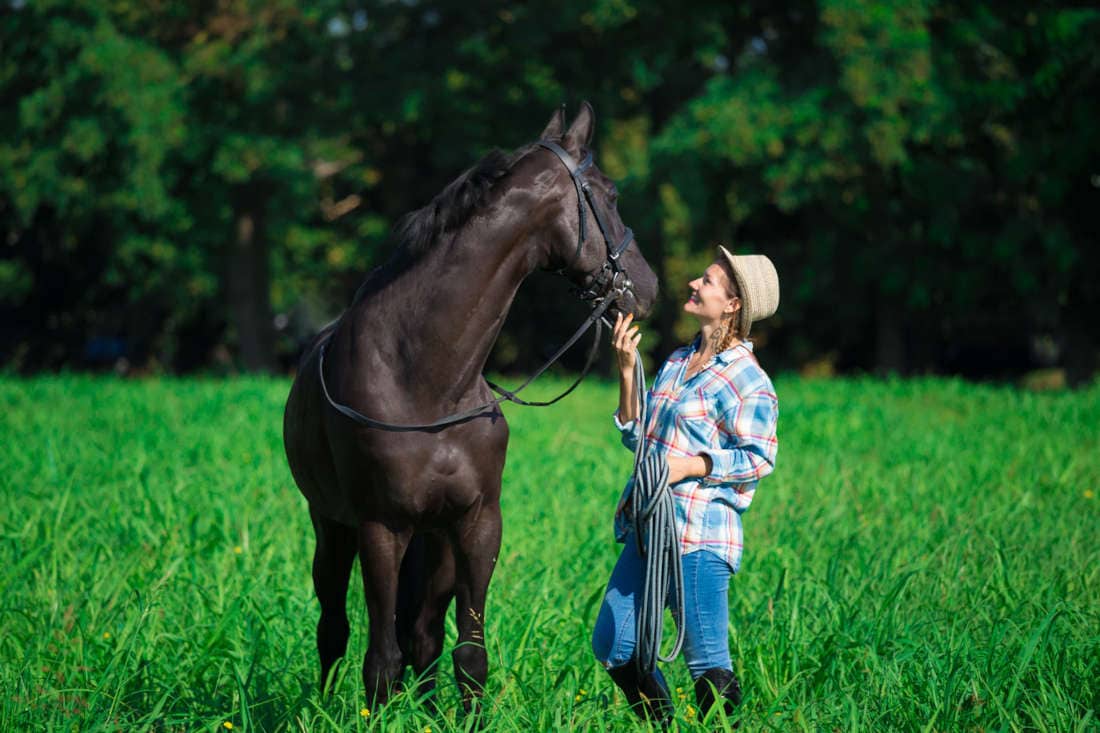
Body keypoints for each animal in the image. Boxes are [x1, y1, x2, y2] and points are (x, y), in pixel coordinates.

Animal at [282, 102, 659, 712]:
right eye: (610, 192)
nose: (647, 288)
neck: (429, 383)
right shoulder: (381, 528)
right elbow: (379, 660)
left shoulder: (478, 524)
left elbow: (468, 655)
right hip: (333, 528)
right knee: (335, 629)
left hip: (434, 543)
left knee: (423, 635)